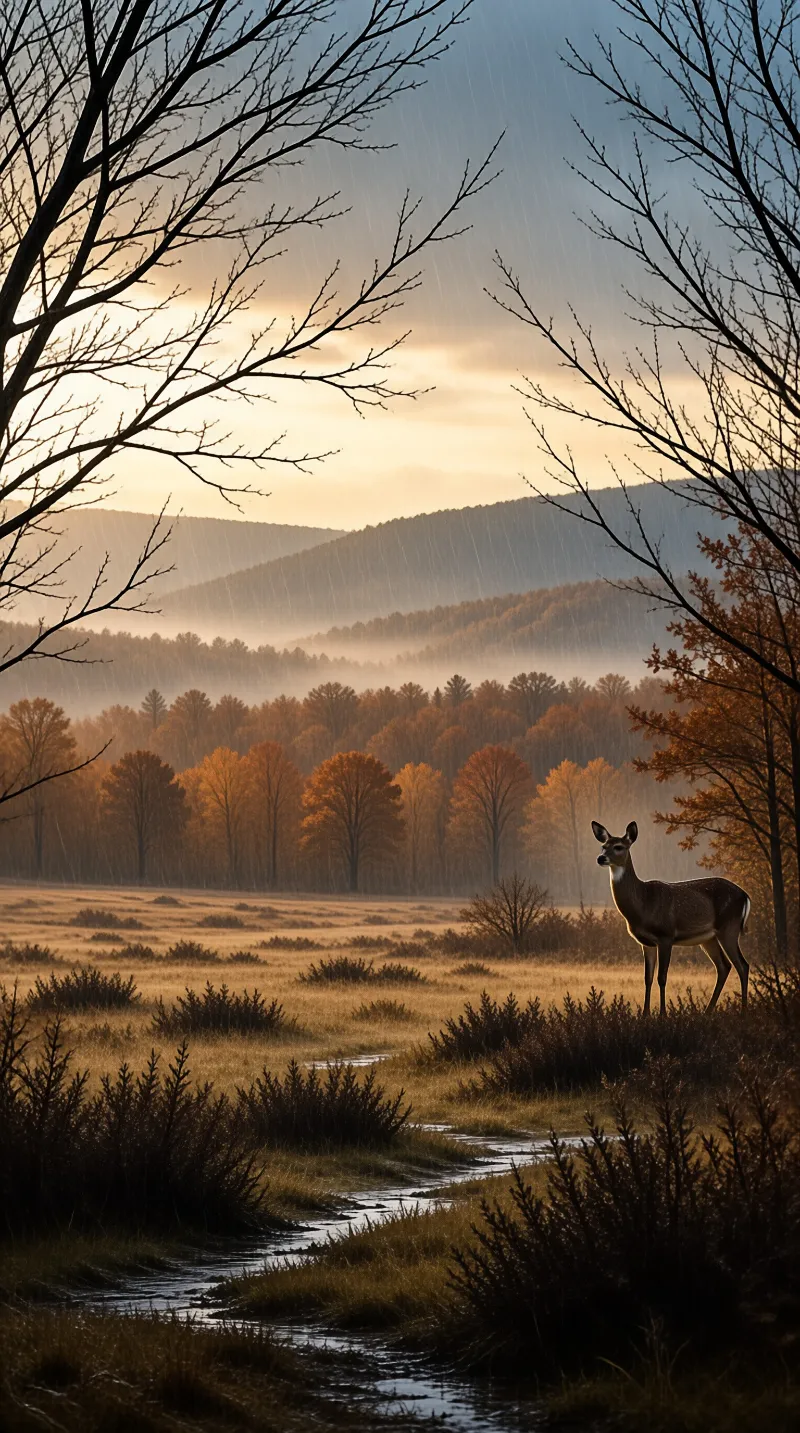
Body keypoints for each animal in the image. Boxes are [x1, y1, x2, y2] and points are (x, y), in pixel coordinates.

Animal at [591, 820, 751, 1015]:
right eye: (603, 846)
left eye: (619, 847)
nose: (601, 858)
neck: (643, 904)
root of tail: (745, 895)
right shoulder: (646, 942)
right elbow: (648, 977)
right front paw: (645, 1014)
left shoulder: (666, 935)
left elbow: (662, 977)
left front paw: (662, 1014)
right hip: (709, 938)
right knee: (724, 967)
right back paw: (707, 1012)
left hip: (729, 928)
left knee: (742, 965)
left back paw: (743, 1011)